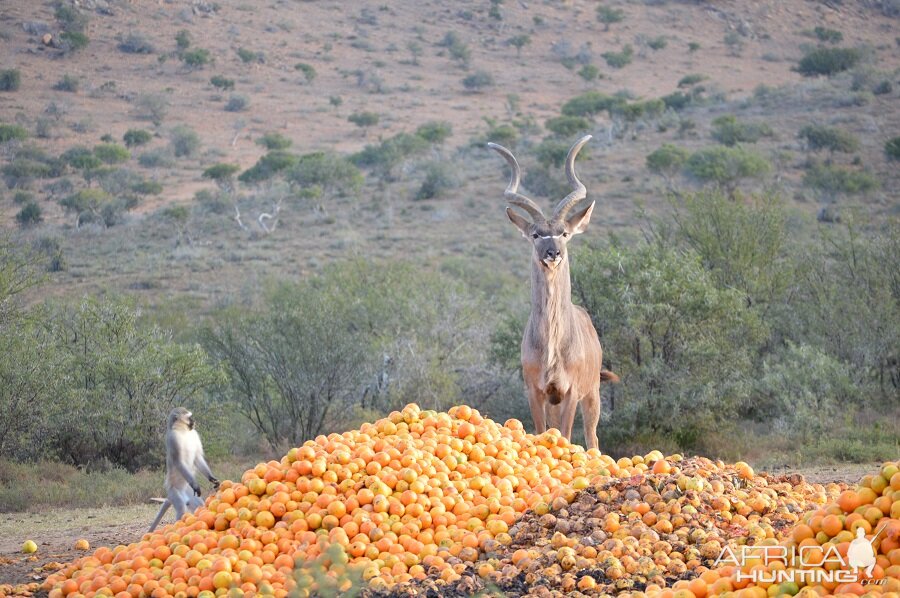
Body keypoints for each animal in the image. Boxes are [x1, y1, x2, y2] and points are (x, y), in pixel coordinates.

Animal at [149, 408, 219, 536]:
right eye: (189, 417)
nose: (194, 421)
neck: (183, 431)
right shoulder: (173, 438)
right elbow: (179, 461)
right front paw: (195, 484)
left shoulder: (194, 434)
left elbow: (197, 457)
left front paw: (212, 478)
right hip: (173, 492)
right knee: (181, 507)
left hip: (189, 492)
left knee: (199, 505)